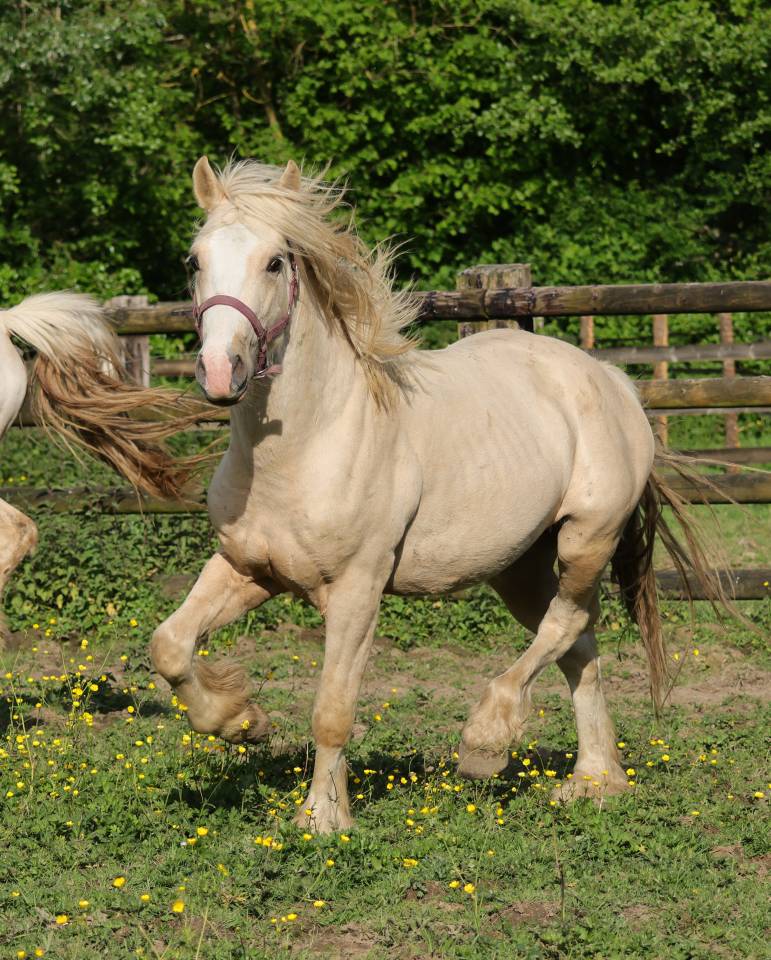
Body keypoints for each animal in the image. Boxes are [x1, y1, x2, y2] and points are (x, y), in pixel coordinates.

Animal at [150, 157, 720, 833]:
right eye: (194, 260)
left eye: (275, 262)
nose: (220, 371)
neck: (306, 446)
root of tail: (609, 379)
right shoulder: (247, 568)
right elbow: (170, 647)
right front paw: (242, 720)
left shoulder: (358, 589)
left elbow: (332, 709)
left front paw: (323, 821)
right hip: (518, 565)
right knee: (577, 643)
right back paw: (595, 783)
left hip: (588, 537)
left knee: (567, 624)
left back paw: (486, 743)